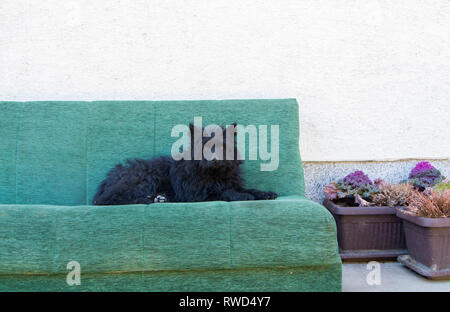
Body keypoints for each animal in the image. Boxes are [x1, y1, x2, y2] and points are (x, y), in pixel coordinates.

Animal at [93, 123, 278, 206]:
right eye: (205, 147)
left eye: (222, 146)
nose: (214, 159)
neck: (214, 174)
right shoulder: (198, 194)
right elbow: (225, 192)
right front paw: (242, 196)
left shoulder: (231, 183)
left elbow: (248, 189)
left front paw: (265, 193)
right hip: (145, 176)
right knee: (116, 198)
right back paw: (153, 198)